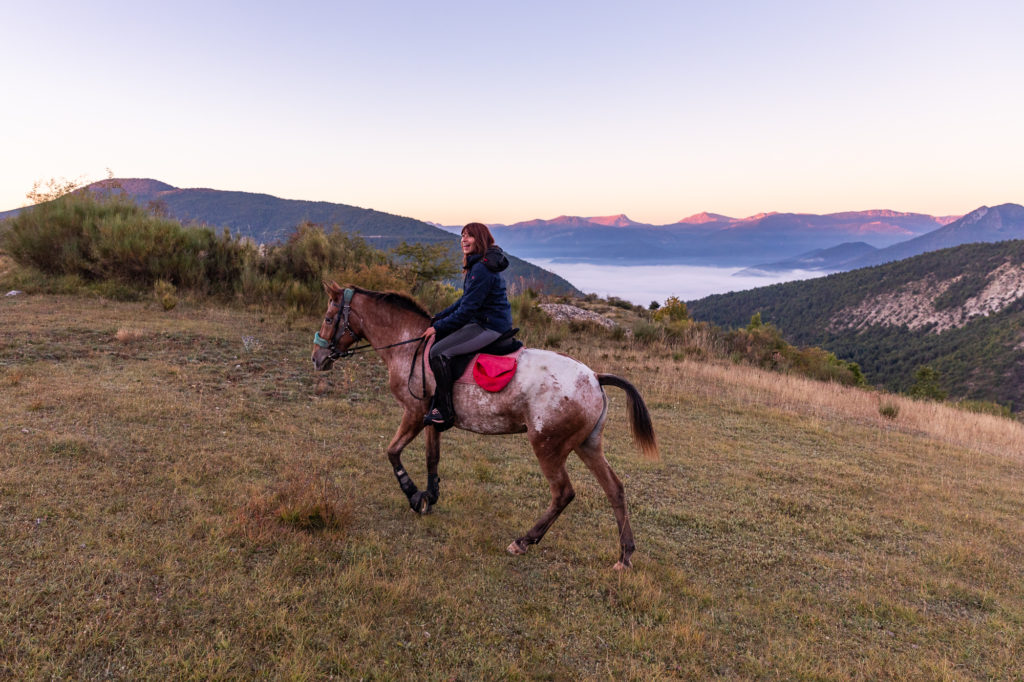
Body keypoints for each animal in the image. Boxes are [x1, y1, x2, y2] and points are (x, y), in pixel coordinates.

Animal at [309, 280, 655, 569]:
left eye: (327, 319)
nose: (317, 358)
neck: (408, 346)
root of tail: (595, 378)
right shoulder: (432, 419)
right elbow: (432, 458)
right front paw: (430, 496)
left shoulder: (413, 413)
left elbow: (393, 452)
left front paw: (413, 495)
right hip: (587, 444)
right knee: (614, 489)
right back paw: (624, 555)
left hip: (549, 446)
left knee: (563, 493)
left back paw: (523, 541)